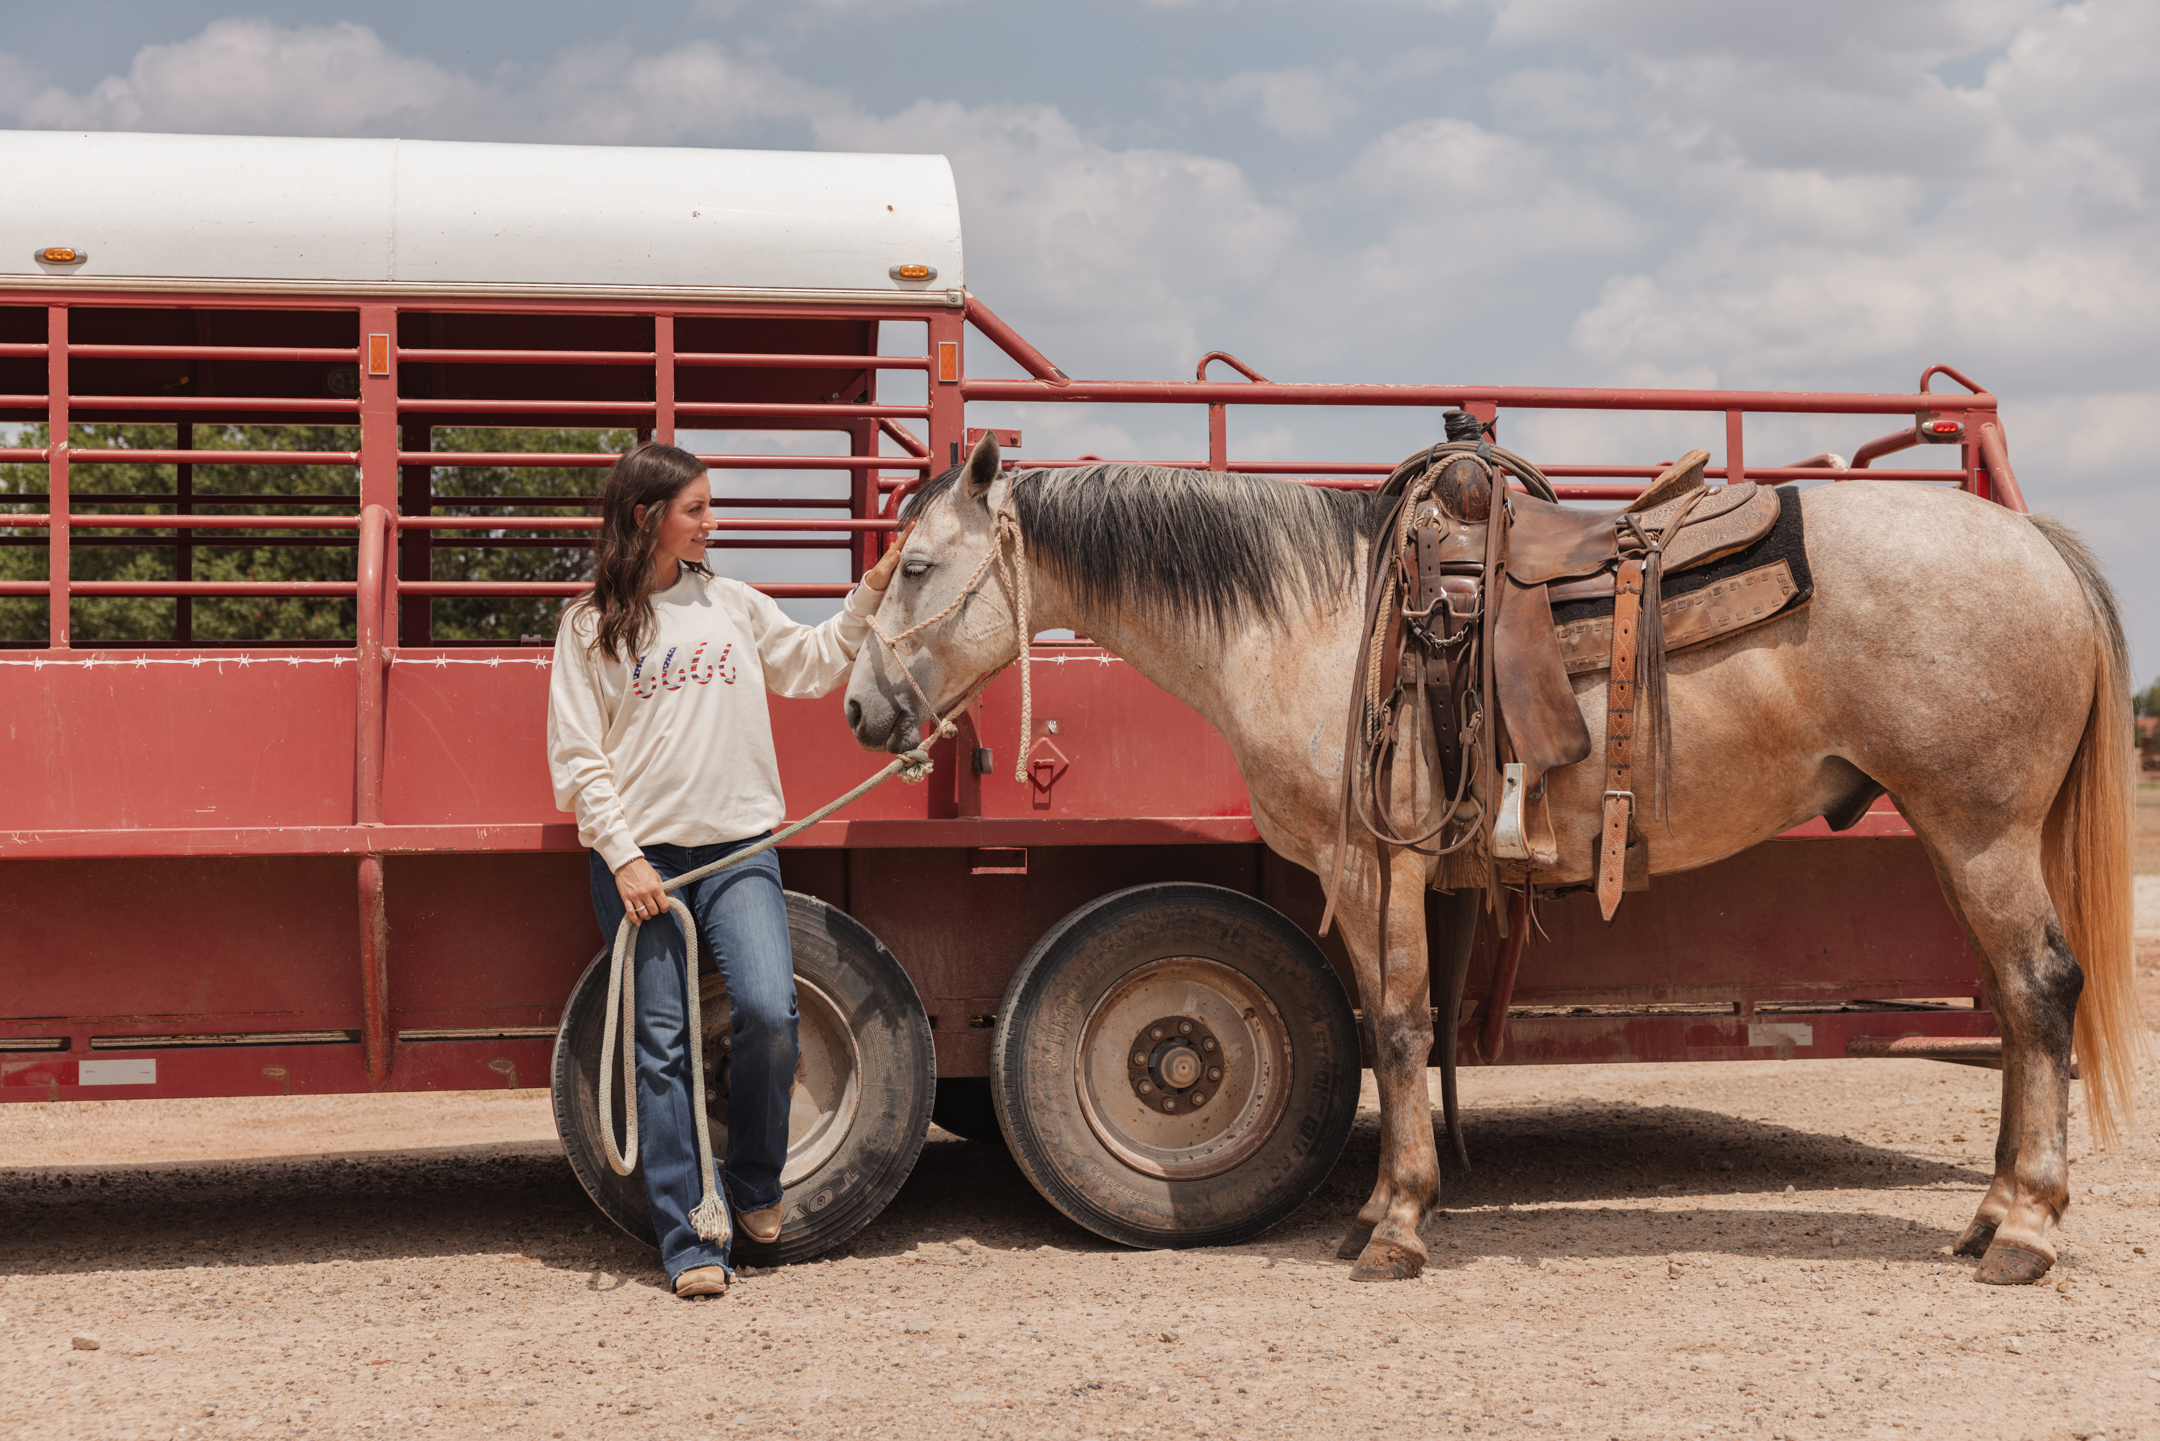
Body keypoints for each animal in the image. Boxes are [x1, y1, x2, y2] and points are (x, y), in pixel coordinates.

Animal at [842, 431, 2141, 1286]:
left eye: (918, 567)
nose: (862, 709)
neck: (1306, 618)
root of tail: (2035, 545)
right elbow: (1388, 1024)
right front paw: (1377, 1211)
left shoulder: (1373, 865)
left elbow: (1399, 1024)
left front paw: (1398, 1226)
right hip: (1957, 839)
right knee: (2018, 1010)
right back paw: (1990, 1218)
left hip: (1981, 830)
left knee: (2039, 992)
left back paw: (2027, 1231)